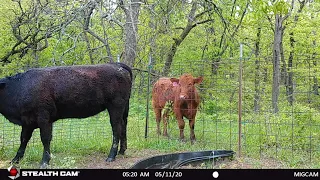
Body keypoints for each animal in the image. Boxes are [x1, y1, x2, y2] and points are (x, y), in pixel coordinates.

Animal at [0, 62, 132, 168]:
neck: (20, 88)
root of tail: (116, 65)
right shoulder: (27, 121)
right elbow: (23, 139)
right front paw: (15, 160)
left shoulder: (44, 118)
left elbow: (45, 139)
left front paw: (44, 162)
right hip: (123, 108)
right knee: (123, 126)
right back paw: (122, 151)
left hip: (115, 107)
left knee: (116, 129)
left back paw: (111, 156)